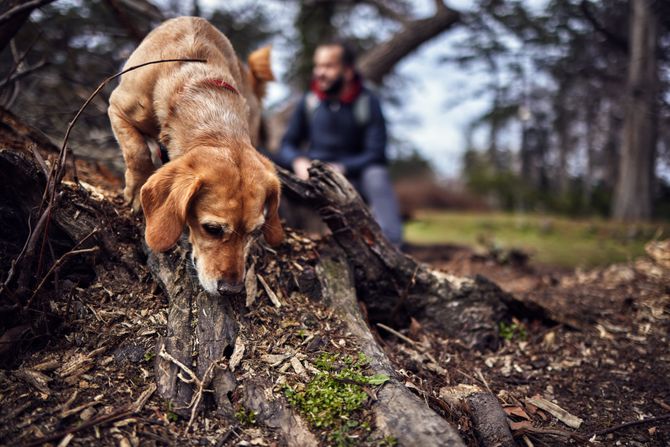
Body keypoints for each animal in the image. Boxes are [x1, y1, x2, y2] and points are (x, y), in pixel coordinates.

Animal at [107, 17, 284, 296]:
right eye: (211, 229)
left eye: (256, 232)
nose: (231, 290)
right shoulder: (117, 108)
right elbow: (138, 152)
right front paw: (135, 192)